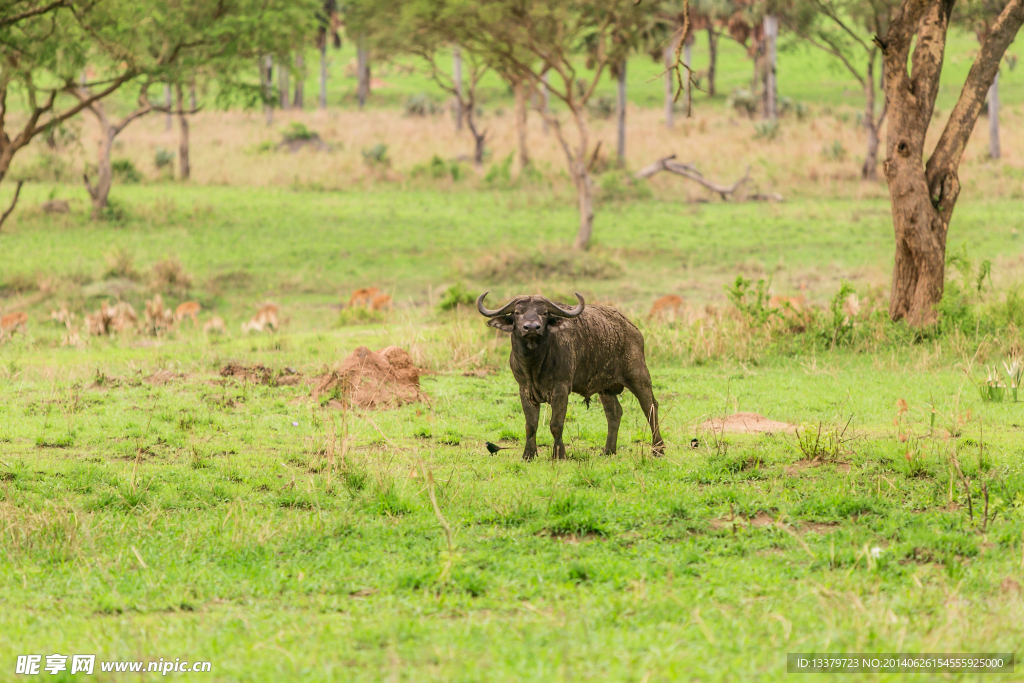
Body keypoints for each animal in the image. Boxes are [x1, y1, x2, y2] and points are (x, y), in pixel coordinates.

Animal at [477, 290, 663, 462]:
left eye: (544, 312)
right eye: (517, 312)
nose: (531, 327)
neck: (535, 364)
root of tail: (632, 329)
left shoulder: (561, 388)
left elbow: (556, 424)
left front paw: (559, 455)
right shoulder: (525, 389)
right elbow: (530, 425)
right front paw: (528, 455)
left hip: (639, 376)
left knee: (650, 408)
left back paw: (658, 450)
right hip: (605, 388)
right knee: (614, 413)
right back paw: (608, 451)